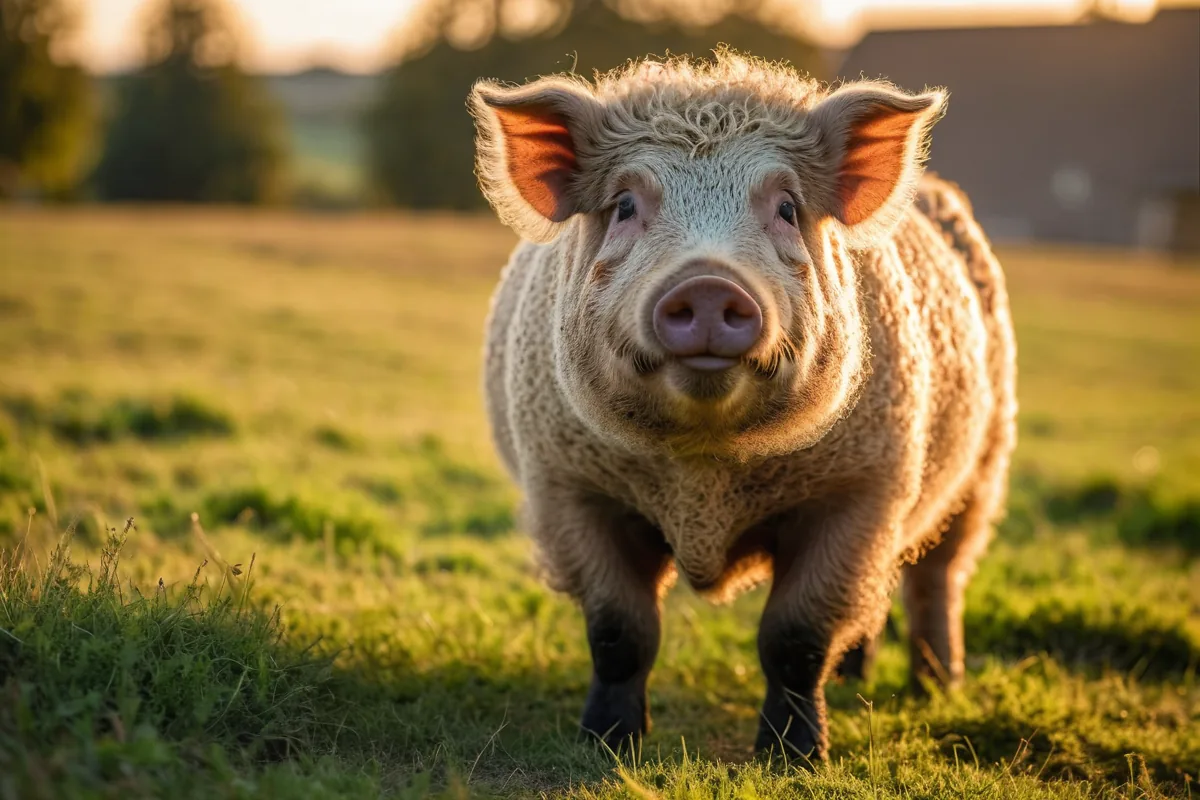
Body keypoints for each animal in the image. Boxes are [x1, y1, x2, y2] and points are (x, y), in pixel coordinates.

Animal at [468, 51, 1016, 760]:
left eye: (786, 207)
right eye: (624, 205)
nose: (707, 282)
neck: (704, 484)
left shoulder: (862, 491)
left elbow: (796, 635)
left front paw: (796, 757)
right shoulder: (566, 487)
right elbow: (620, 631)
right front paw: (607, 743)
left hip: (984, 467)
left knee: (936, 580)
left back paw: (937, 688)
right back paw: (858, 677)